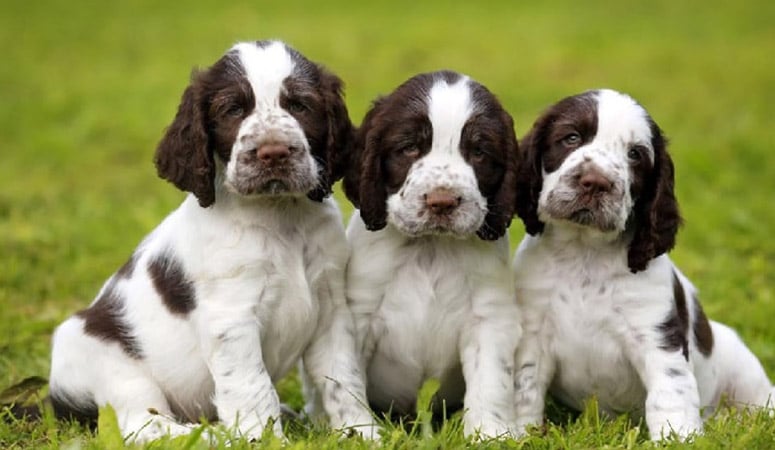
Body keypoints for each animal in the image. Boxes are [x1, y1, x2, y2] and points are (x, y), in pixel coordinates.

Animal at [46, 39, 378, 442]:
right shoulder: (232, 318)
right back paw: (212, 434)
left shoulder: (330, 309)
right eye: (233, 109)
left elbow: (342, 377)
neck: (280, 216)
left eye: (300, 105)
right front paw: (264, 441)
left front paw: (362, 433)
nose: (273, 152)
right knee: (145, 425)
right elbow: (253, 386)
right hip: (113, 369)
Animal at [344, 71, 520, 440]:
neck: (431, 247)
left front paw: (488, 433)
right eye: (409, 147)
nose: (442, 201)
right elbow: (346, 377)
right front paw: (361, 430)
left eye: (479, 152)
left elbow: (491, 381)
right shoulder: (359, 314)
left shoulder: (488, 318)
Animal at [512, 89, 772, 442]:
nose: (595, 182)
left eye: (635, 155)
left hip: (746, 374)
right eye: (571, 138)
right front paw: (517, 435)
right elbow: (525, 387)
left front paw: (678, 439)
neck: (584, 253)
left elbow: (670, 393)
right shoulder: (533, 331)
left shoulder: (657, 337)